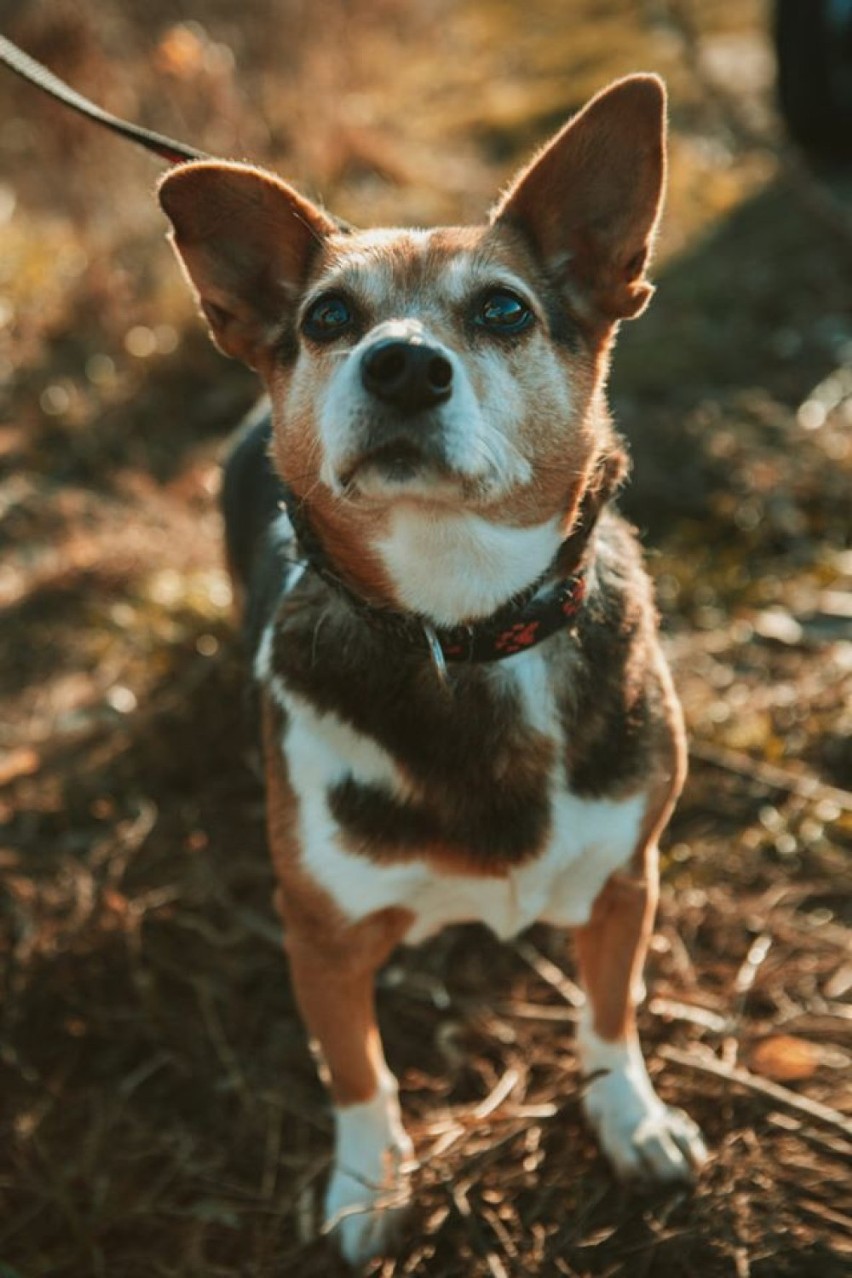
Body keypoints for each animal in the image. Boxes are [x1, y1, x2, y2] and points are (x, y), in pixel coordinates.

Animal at [158, 74, 705, 1262]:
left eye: (505, 310)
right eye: (328, 318)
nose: (402, 362)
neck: (460, 623)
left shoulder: (626, 879)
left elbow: (611, 1014)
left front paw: (630, 1117)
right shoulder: (319, 935)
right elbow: (357, 1075)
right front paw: (368, 1187)